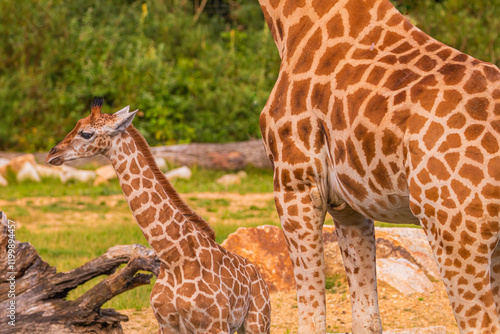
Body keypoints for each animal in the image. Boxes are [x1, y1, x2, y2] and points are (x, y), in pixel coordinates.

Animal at [47, 97, 272, 334]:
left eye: (86, 133)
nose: (52, 154)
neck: (174, 260)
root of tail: (260, 277)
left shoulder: (214, 325)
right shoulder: (167, 324)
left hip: (257, 322)